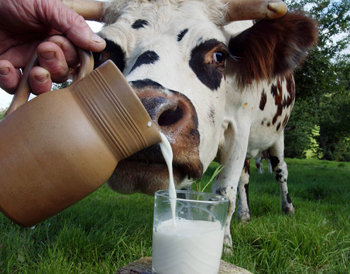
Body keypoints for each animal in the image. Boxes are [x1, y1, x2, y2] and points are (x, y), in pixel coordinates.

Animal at [62, 0, 318, 248]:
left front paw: (225, 244)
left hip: (278, 136)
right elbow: (186, 195)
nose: (146, 110)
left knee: (280, 170)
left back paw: (287, 208)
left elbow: (225, 192)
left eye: (219, 55)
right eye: (101, 55)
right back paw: (245, 215)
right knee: (245, 177)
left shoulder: (239, 129)